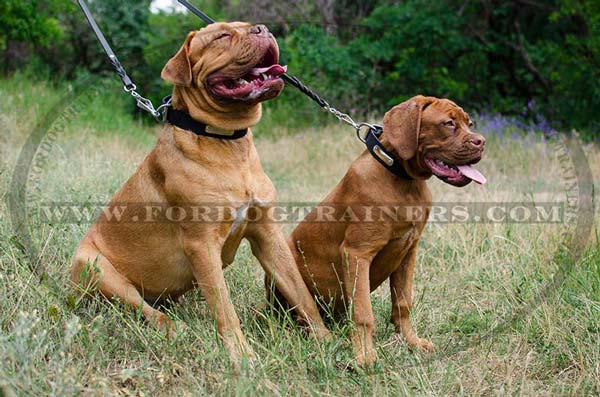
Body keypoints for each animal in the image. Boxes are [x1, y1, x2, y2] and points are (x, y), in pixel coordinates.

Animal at [73, 21, 332, 362]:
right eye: (222, 35)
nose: (262, 28)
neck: (226, 143)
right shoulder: (202, 244)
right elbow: (224, 306)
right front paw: (242, 356)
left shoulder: (267, 234)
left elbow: (300, 292)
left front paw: (326, 340)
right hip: (94, 265)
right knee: (145, 309)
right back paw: (175, 328)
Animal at [270, 95, 486, 366]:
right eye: (448, 123)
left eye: (469, 123)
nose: (482, 142)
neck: (403, 180)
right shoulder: (357, 253)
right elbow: (364, 313)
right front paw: (364, 357)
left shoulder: (408, 251)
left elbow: (403, 303)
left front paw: (411, 342)